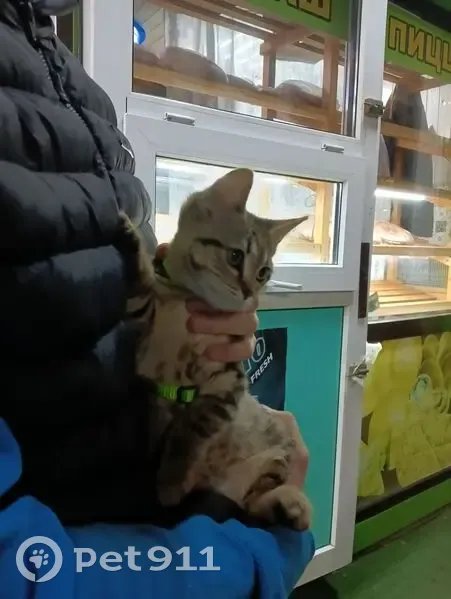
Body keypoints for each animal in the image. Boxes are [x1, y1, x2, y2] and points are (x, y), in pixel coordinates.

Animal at [117, 168, 312, 530]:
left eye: (263, 273)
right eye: (235, 256)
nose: (250, 292)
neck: (186, 302)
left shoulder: (226, 382)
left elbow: (190, 432)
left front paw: (170, 483)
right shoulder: (142, 322)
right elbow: (140, 288)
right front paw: (128, 233)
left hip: (276, 450)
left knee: (257, 500)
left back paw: (289, 505)